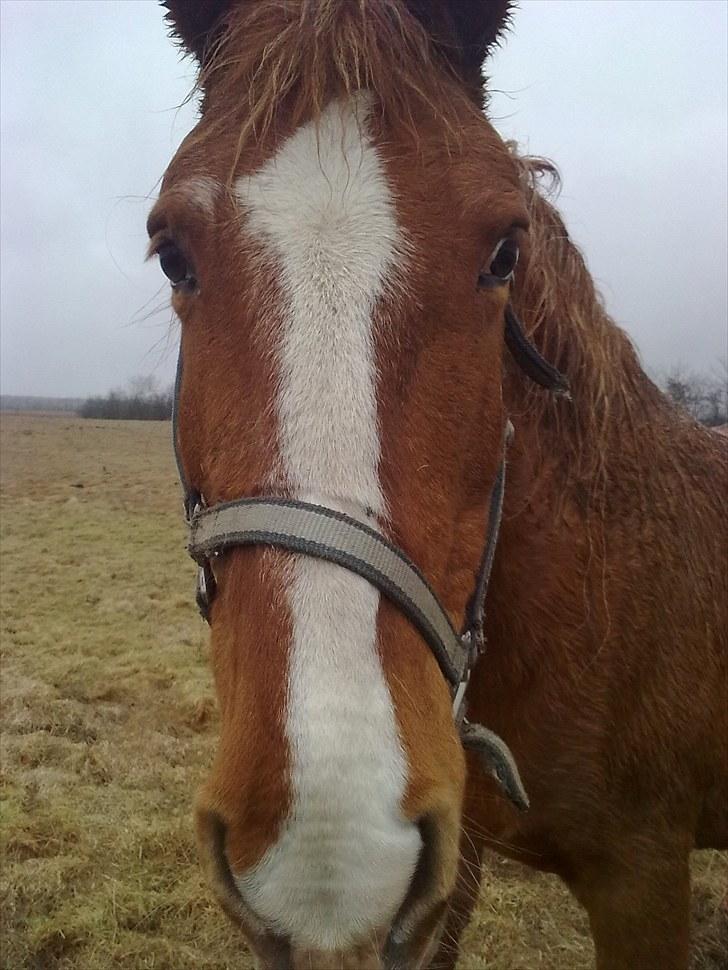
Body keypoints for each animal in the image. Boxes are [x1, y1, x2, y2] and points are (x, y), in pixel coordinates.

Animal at [149, 1, 728, 968]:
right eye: (169, 254)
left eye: (504, 252)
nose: (329, 853)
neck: (595, 591)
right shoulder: (451, 865)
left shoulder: (644, 875)